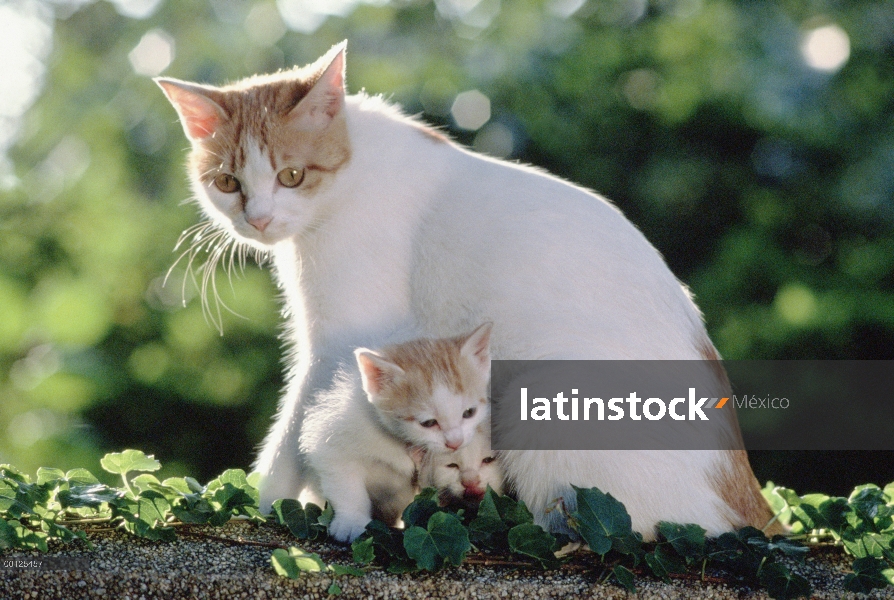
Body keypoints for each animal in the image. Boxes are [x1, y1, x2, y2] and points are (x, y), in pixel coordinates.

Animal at [304, 324, 494, 544]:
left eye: (469, 413)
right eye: (428, 423)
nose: (455, 443)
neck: (401, 441)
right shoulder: (333, 439)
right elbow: (346, 485)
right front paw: (351, 522)